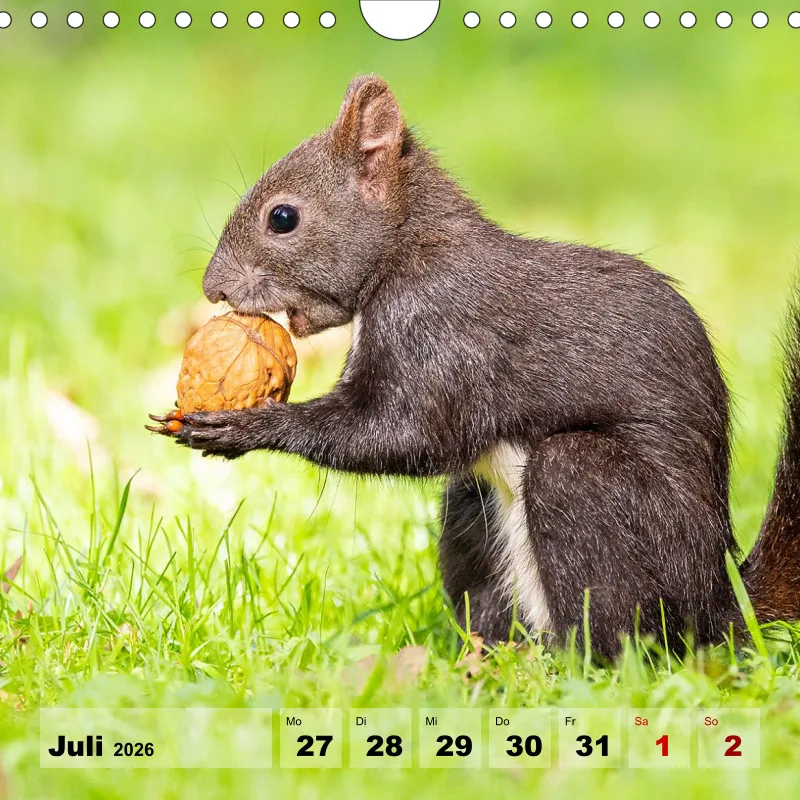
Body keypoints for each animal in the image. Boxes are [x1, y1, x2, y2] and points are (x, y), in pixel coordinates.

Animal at [159, 75, 800, 658]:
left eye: (283, 218)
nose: (214, 289)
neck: (411, 248)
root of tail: (723, 604)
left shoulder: (440, 329)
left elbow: (406, 434)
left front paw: (245, 426)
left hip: (592, 488)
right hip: (471, 508)